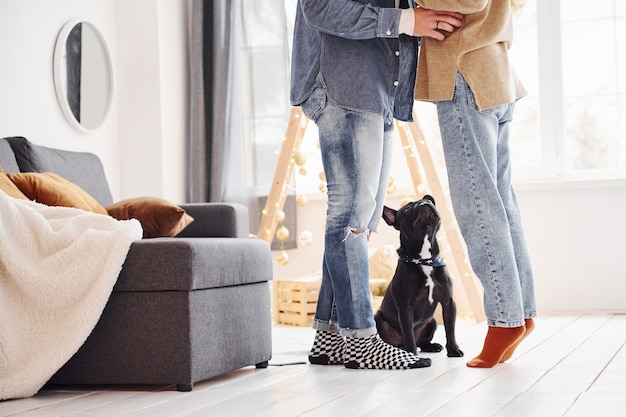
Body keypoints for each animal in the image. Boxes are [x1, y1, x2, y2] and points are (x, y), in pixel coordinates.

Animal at [372, 196, 460, 358]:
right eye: (407, 208)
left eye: (430, 202)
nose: (423, 202)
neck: (424, 259)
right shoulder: (405, 307)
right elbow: (408, 332)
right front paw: (411, 353)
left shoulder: (448, 302)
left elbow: (450, 328)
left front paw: (453, 349)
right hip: (378, 319)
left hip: (432, 321)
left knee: (422, 342)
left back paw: (431, 346)